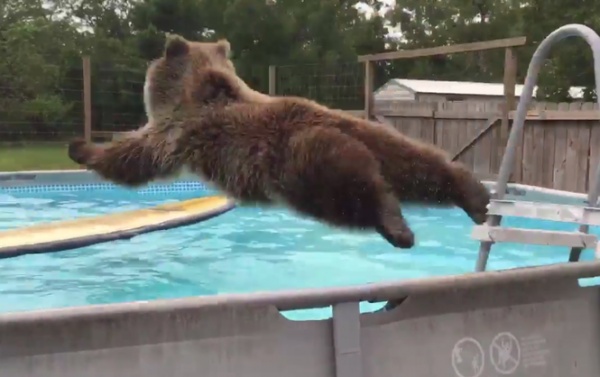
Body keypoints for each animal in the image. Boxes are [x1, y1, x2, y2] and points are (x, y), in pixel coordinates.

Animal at [68, 34, 490, 247]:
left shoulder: (177, 132)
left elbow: (134, 157)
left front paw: (82, 148)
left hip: (303, 165)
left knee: (355, 193)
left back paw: (397, 228)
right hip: (381, 139)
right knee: (422, 167)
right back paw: (475, 197)